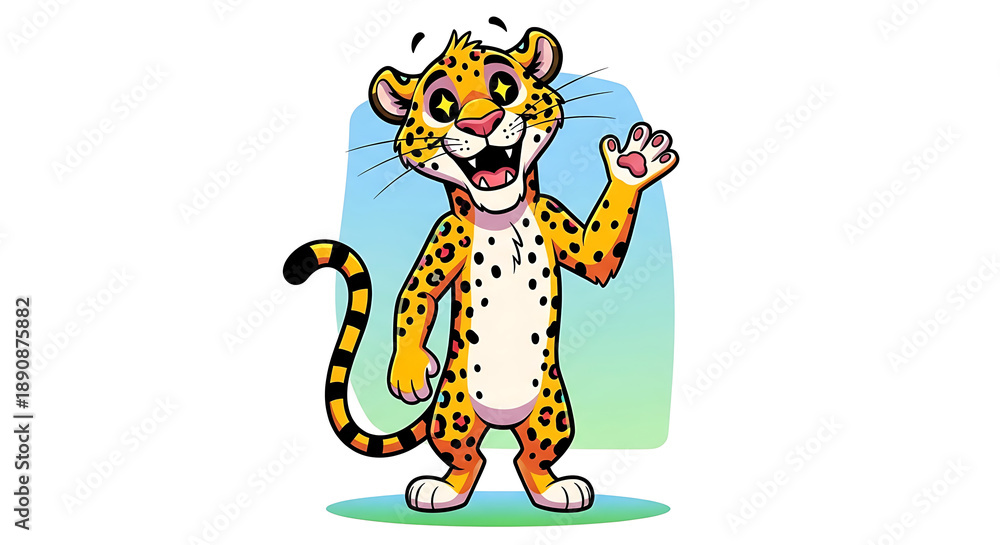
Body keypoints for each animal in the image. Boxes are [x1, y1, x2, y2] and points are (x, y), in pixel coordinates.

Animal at [283, 26, 678, 512]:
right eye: (441, 106)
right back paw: (444, 490)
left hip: (552, 410)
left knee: (531, 455)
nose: (481, 123)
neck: (500, 214)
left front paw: (632, 166)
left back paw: (554, 489)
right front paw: (409, 370)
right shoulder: (444, 237)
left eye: (504, 87)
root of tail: (502, 420)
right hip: (454, 411)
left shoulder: (556, 220)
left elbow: (597, 253)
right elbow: (415, 299)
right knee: (468, 455)